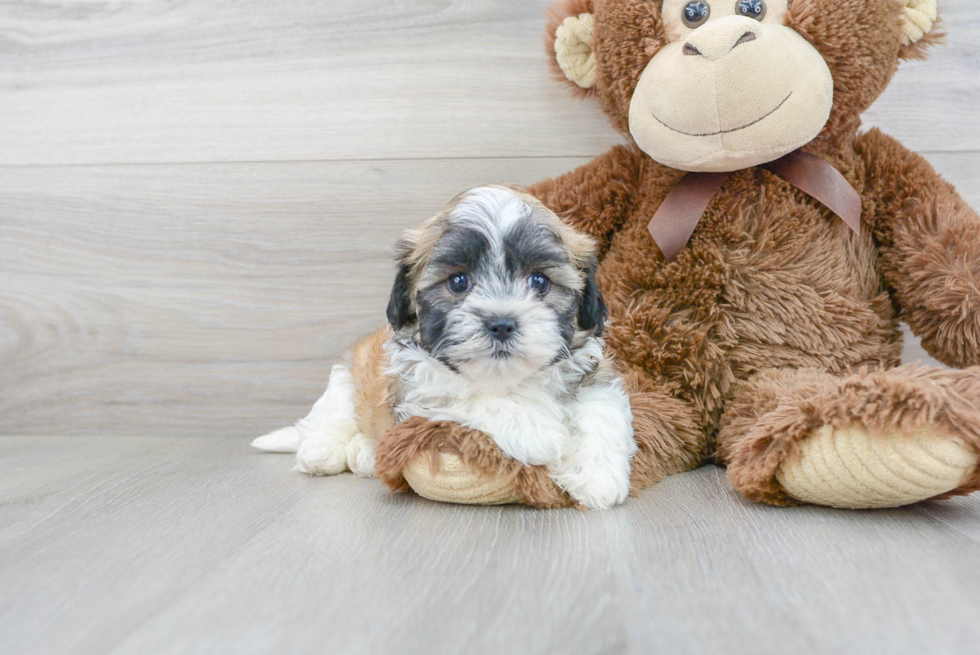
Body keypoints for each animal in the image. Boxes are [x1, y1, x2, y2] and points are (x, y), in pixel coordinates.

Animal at [253, 187, 636, 510]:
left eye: (539, 281)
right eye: (458, 281)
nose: (501, 323)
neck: (509, 380)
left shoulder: (591, 370)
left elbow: (602, 407)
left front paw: (597, 477)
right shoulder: (420, 393)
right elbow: (474, 399)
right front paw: (539, 432)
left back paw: (365, 454)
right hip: (347, 378)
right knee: (328, 419)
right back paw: (323, 451)